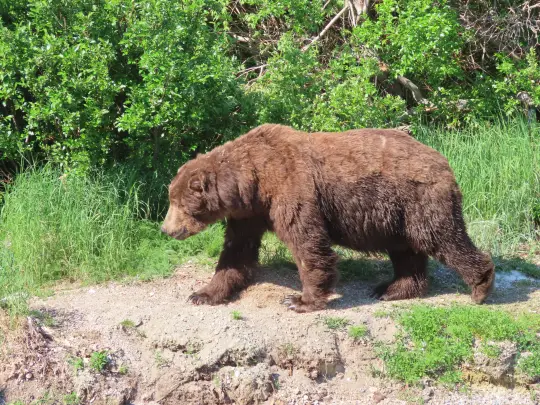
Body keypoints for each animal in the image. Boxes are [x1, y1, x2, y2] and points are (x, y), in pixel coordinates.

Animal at [160, 123, 494, 312]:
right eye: (170, 199)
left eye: (178, 203)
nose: (166, 229)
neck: (253, 181)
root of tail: (444, 161)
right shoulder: (249, 213)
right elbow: (235, 252)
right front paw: (203, 293)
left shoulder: (291, 190)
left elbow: (306, 242)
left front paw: (299, 300)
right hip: (397, 215)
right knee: (406, 252)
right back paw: (391, 289)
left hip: (418, 201)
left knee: (443, 238)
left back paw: (480, 285)